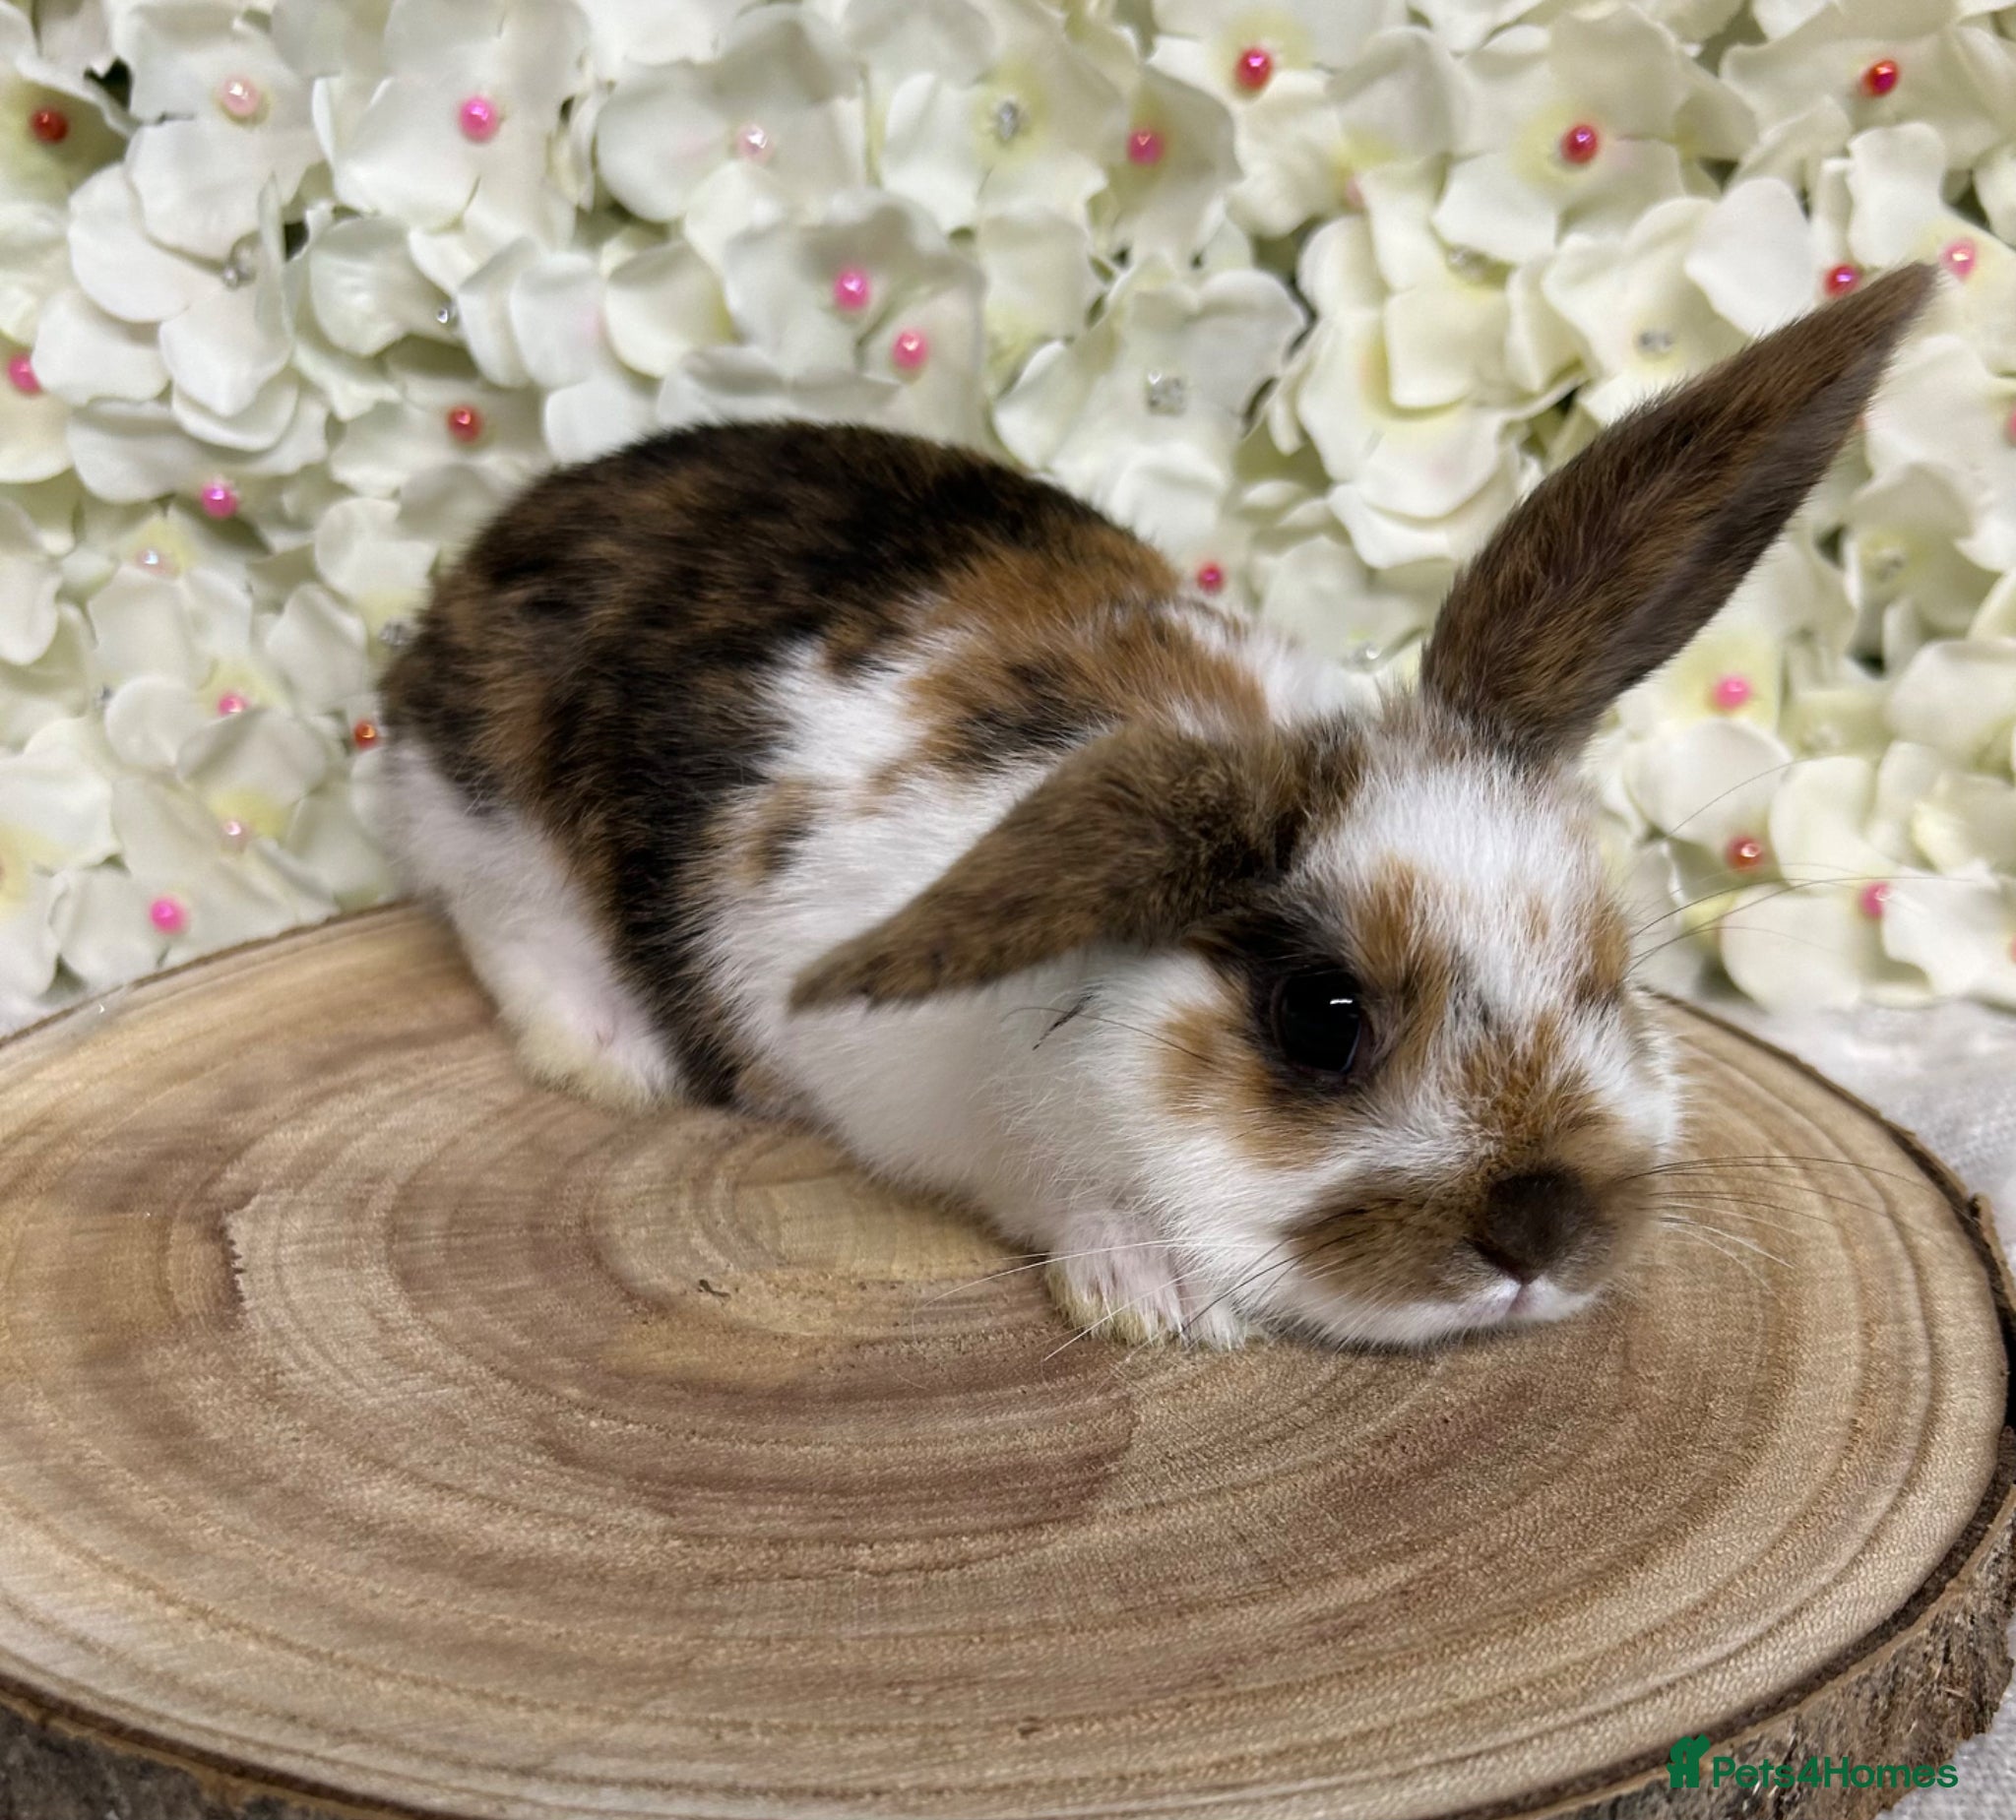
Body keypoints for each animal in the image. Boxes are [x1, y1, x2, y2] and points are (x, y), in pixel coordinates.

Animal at [377, 262, 1933, 1350]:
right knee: (510, 925)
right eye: (1321, 1017)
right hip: (486, 810)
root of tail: (505, 534)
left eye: (1607, 981)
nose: (1541, 1243)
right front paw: (1153, 1294)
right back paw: (618, 1059)